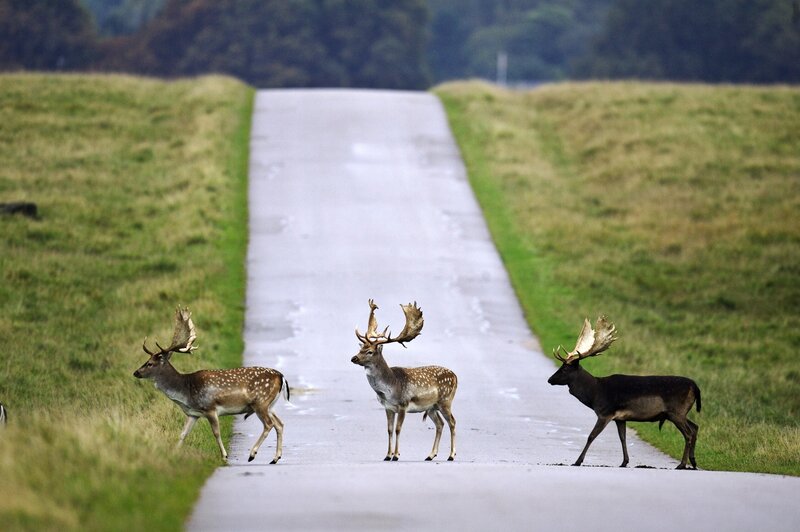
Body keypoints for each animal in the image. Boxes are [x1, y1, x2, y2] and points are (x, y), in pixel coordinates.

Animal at [133, 307, 289, 464]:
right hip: (270, 405)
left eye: (150, 363)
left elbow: (216, 433)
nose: (136, 372)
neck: (186, 391)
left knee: (269, 424)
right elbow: (183, 434)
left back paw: (252, 454)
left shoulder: (210, 408)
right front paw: (173, 453)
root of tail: (281, 376)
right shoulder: (193, 413)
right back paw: (275, 458)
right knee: (279, 424)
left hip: (260, 402)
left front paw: (224, 456)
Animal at [351, 300, 457, 462]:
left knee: (452, 422)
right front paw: (387, 455)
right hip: (431, 407)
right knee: (440, 424)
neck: (389, 387)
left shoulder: (403, 404)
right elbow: (389, 429)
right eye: (360, 348)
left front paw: (396, 455)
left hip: (445, 401)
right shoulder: (388, 407)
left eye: (369, 351)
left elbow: (398, 429)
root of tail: (456, 376)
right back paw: (431, 455)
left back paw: (451, 455)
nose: (353, 358)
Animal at [547, 316, 701, 469]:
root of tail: (695, 386)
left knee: (688, 433)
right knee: (695, 427)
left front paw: (577, 461)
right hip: (678, 413)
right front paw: (624, 462)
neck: (595, 394)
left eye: (565, 369)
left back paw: (682, 464)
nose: (550, 379)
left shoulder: (605, 413)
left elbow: (591, 436)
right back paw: (693, 462)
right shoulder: (620, 418)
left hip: (676, 411)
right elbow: (622, 438)